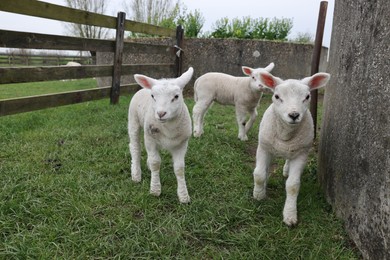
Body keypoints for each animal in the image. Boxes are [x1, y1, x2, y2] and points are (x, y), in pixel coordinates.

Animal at [129, 66, 194, 203]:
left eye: (176, 96)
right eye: (153, 96)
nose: (161, 113)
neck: (168, 128)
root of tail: (143, 88)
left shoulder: (182, 143)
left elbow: (179, 168)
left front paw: (183, 196)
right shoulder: (150, 140)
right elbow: (155, 163)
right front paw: (155, 190)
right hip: (133, 121)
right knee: (135, 147)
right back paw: (136, 174)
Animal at [251, 69, 330, 225]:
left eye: (307, 96)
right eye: (277, 96)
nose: (294, 115)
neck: (285, 135)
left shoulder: (301, 154)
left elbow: (293, 186)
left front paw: (290, 215)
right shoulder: (264, 147)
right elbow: (259, 174)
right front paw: (258, 195)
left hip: (295, 149)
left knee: (288, 160)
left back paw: (286, 170)